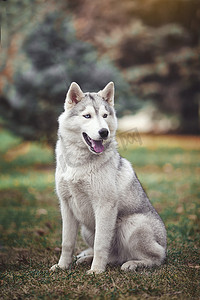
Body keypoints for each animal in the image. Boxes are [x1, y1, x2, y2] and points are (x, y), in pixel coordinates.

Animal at [50, 82, 166, 274]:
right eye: (87, 116)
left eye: (105, 115)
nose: (104, 132)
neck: (79, 163)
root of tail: (164, 244)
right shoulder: (66, 205)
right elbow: (67, 242)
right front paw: (62, 266)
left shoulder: (104, 206)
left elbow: (100, 244)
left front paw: (96, 271)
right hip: (87, 230)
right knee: (113, 256)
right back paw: (86, 259)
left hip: (132, 225)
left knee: (156, 257)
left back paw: (134, 263)